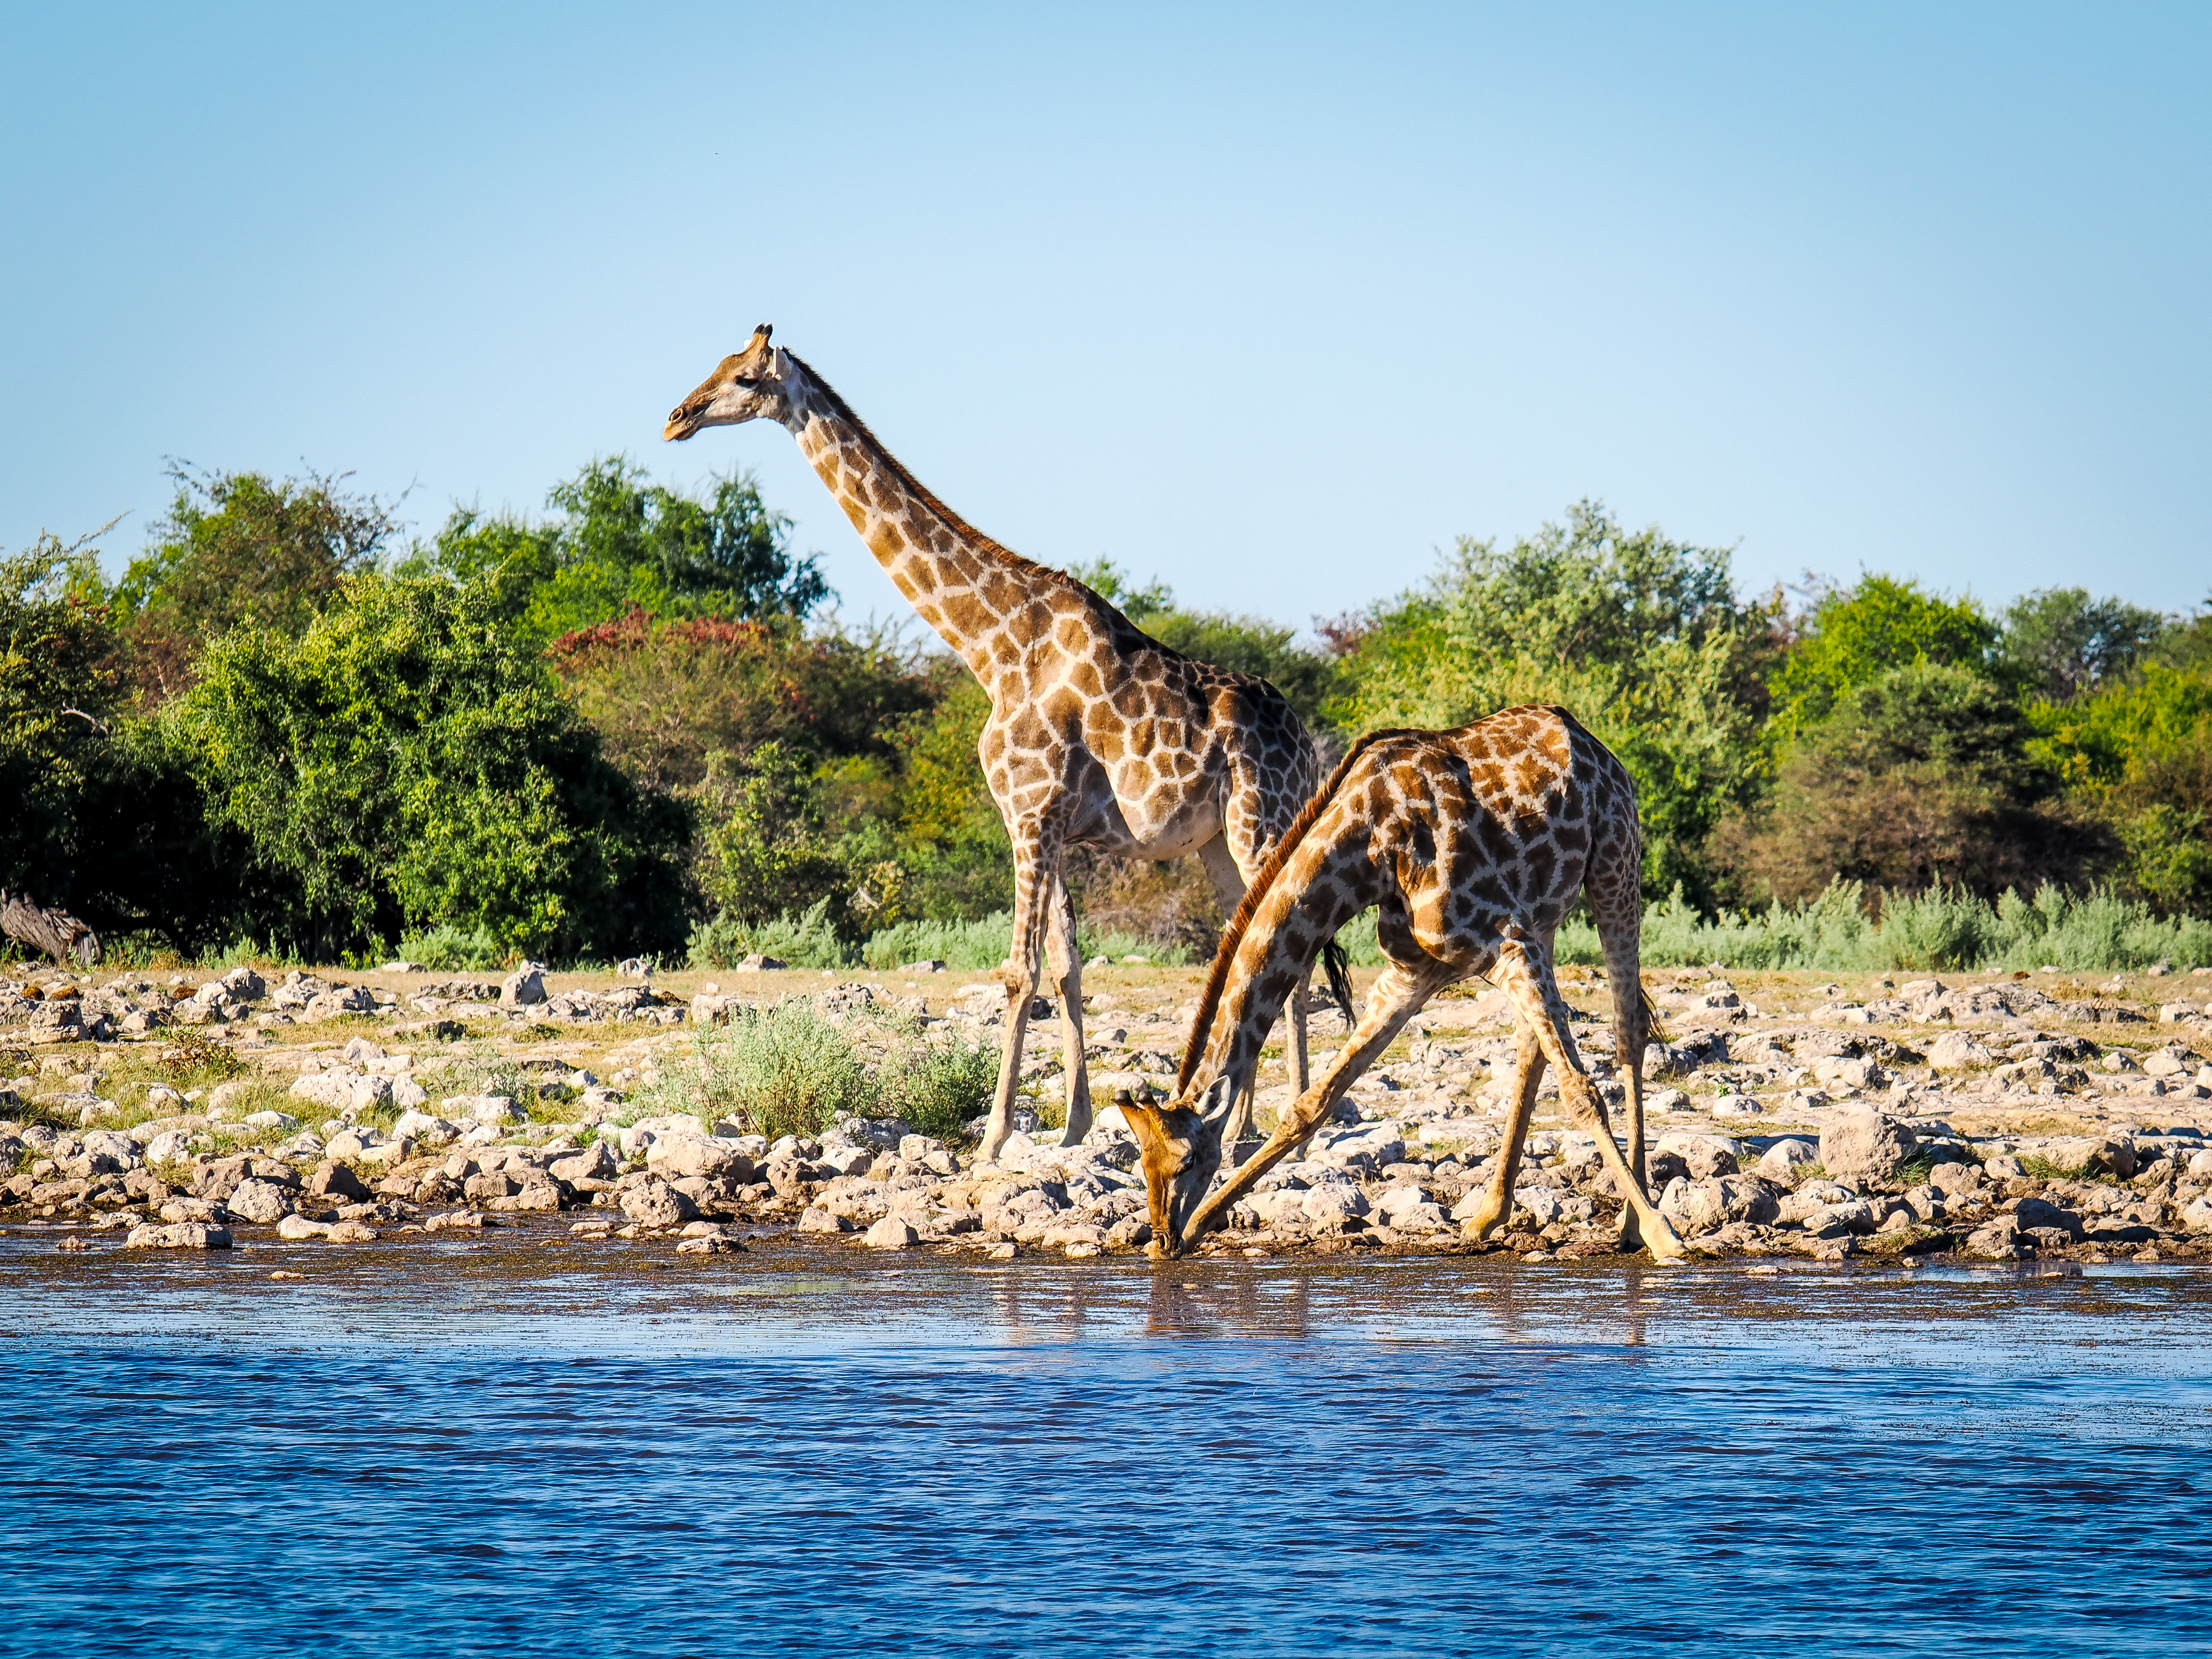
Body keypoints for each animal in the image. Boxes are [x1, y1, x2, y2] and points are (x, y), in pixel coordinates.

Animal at [664, 326, 1348, 1159]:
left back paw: (1291, 1128)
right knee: (1251, 943)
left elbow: (1019, 970)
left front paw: (991, 1137)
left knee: (1293, 946)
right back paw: (1241, 1119)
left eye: (741, 377)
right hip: (1219, 841)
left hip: (1261, 819)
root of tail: (1305, 744)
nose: (676, 417)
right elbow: (1065, 968)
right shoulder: (1041, 821)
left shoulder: (1031, 811)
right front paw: (1073, 1125)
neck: (990, 646)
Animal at [1119, 705, 1687, 1262]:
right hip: (1544, 917)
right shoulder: (1412, 974)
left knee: (1628, 1026)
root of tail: (1592, 742)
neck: (1366, 851)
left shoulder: (1505, 939)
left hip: (1614, 863)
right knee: (1536, 1044)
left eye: (1186, 1159)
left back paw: (1634, 1222)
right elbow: (1311, 1105)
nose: (1162, 1240)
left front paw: (1664, 1234)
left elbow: (1581, 1092)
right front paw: (1201, 1223)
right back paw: (1488, 1215)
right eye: (1141, 1163)